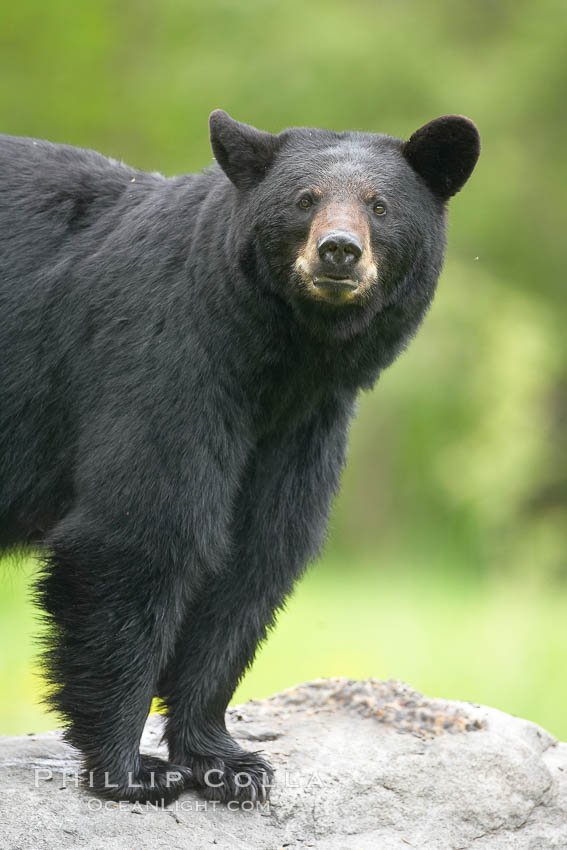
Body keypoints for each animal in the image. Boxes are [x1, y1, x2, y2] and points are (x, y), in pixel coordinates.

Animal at [0, 111, 480, 800]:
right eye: (304, 199)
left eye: (380, 205)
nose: (339, 250)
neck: (276, 359)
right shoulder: (166, 359)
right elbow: (142, 532)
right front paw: (132, 769)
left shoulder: (300, 425)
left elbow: (257, 557)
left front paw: (227, 763)